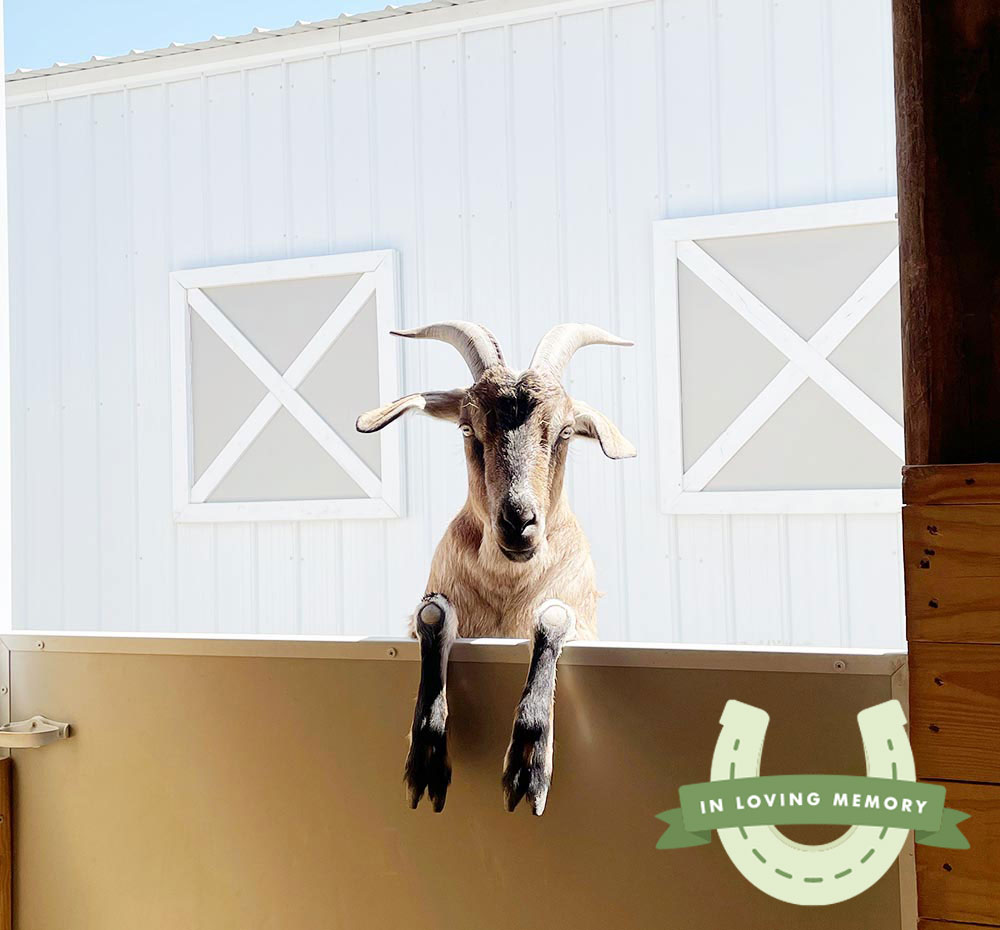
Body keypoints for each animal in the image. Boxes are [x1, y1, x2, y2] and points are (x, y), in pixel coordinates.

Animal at [357, 321, 634, 815]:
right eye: (468, 427)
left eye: (565, 431)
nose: (518, 521)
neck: (507, 589)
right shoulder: (430, 606)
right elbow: (434, 613)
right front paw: (426, 756)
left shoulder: (579, 618)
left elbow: (552, 617)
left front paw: (527, 765)